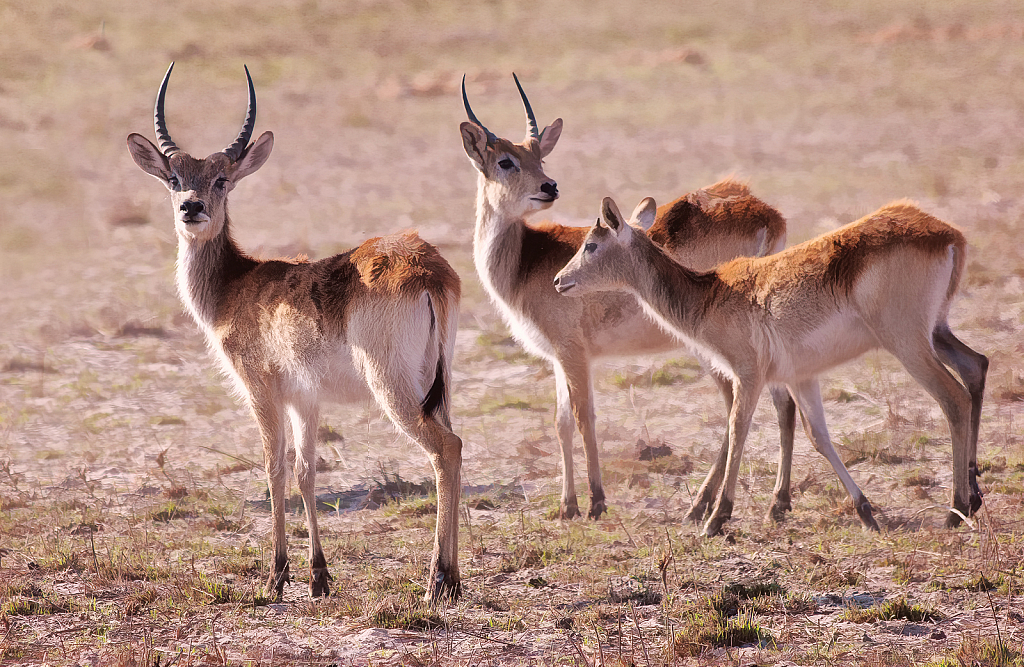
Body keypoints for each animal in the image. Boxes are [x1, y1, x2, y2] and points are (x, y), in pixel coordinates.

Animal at [128, 65, 464, 602]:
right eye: (174, 178)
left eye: (222, 178)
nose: (191, 208)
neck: (235, 284)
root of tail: (425, 268)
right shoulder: (306, 398)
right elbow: (307, 471)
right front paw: (318, 576)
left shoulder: (262, 389)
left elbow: (274, 469)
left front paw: (276, 575)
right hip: (440, 383)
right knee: (457, 446)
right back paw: (452, 580)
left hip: (394, 388)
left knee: (445, 450)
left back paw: (438, 580)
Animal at [458, 76, 798, 522]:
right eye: (505, 161)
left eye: (539, 158)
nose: (549, 187)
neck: (524, 261)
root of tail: (765, 213)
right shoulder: (557, 358)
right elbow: (561, 422)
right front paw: (567, 505)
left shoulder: (571, 351)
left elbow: (584, 417)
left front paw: (596, 502)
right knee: (774, 404)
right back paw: (756, 504)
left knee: (751, 405)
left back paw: (723, 506)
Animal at [557, 195, 987, 536]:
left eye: (591, 244)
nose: (560, 281)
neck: (709, 296)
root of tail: (948, 235)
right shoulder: (801, 375)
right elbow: (819, 436)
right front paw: (865, 512)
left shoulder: (748, 374)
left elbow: (737, 428)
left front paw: (715, 518)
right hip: (935, 332)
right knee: (976, 366)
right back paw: (972, 498)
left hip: (908, 342)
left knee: (954, 399)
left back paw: (955, 510)